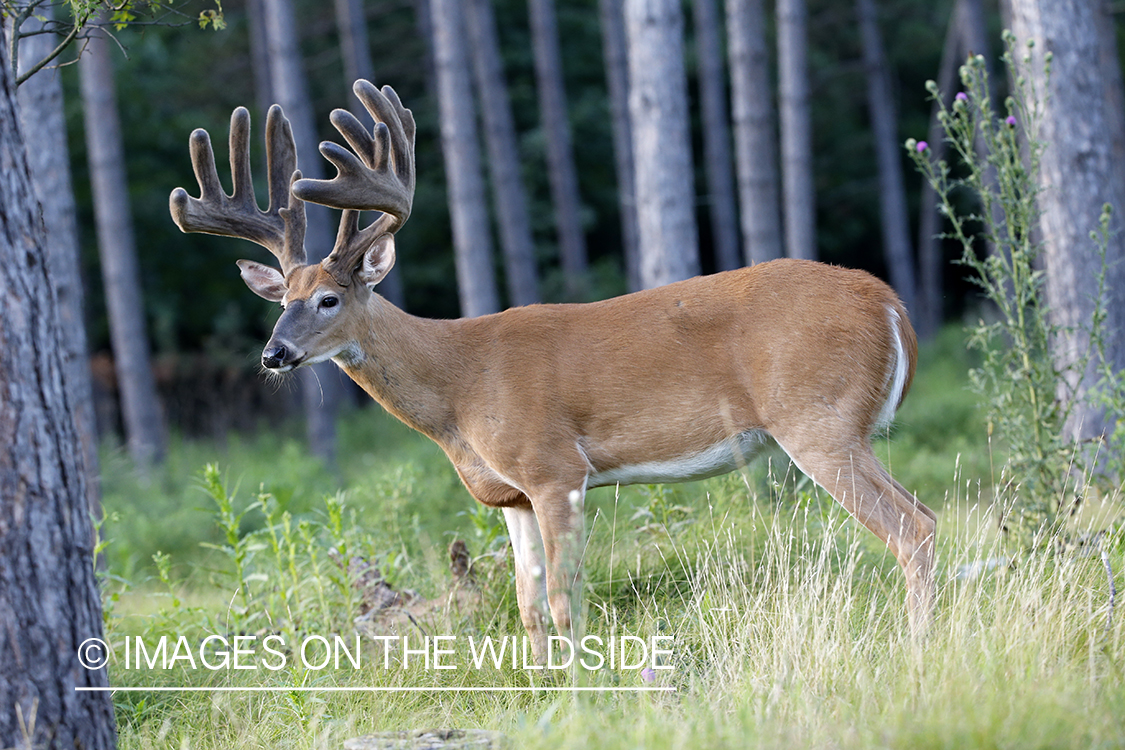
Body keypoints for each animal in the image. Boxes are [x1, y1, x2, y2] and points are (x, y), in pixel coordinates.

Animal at [171, 79, 936, 661]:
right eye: (281, 302)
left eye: (328, 298)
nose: (273, 355)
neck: (458, 387)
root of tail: (892, 304)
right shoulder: (509, 493)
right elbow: (527, 603)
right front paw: (542, 684)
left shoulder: (554, 468)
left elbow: (568, 600)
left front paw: (580, 689)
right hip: (847, 429)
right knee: (924, 514)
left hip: (817, 418)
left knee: (912, 529)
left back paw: (918, 650)